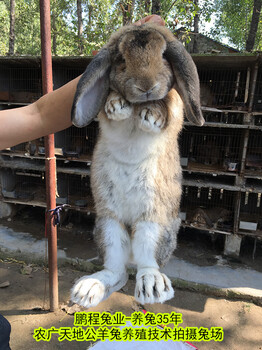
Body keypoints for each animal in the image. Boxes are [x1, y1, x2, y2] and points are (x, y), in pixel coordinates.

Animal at [70, 21, 205, 308]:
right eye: (121, 59)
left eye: (164, 56)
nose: (146, 86)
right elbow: (110, 101)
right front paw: (117, 105)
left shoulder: (175, 106)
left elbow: (168, 103)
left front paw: (151, 114)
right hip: (109, 225)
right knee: (118, 271)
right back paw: (88, 289)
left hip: (153, 224)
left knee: (146, 264)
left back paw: (152, 286)